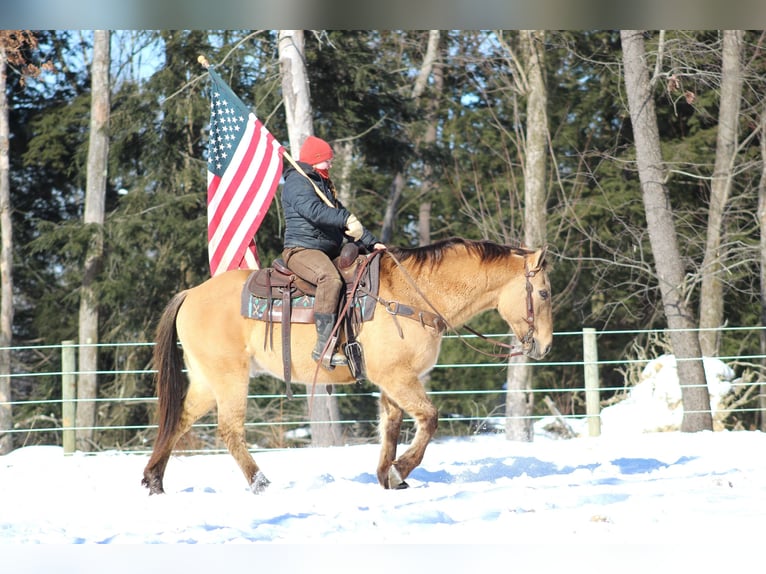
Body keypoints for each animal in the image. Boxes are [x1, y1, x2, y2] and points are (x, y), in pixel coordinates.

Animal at [142, 238, 552, 496]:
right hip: (229, 377)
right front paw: (400, 470)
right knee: (229, 430)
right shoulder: (398, 377)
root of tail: (190, 293)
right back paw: (260, 482)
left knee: (178, 420)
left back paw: (154, 480)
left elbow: (391, 427)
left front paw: (388, 475)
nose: (545, 346)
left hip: (205, 380)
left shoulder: (393, 381)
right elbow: (429, 419)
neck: (413, 294)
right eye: (545, 292)